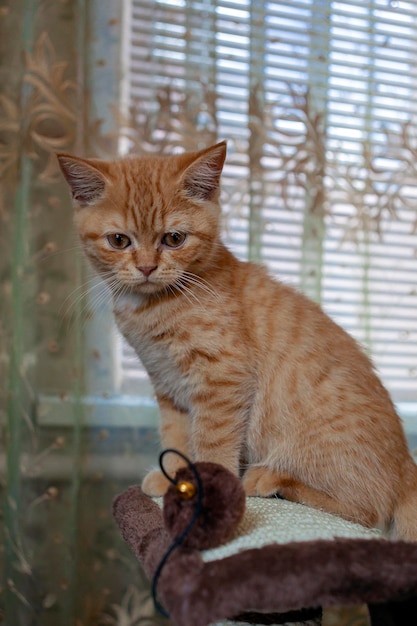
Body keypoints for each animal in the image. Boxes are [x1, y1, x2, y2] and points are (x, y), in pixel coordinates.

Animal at [57, 140, 416, 536]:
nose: (147, 267)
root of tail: (407, 467)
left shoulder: (222, 378)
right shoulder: (168, 386)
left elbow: (211, 441)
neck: (154, 306)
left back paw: (273, 480)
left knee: (368, 513)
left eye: (174, 238)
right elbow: (176, 435)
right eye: (119, 240)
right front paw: (175, 479)